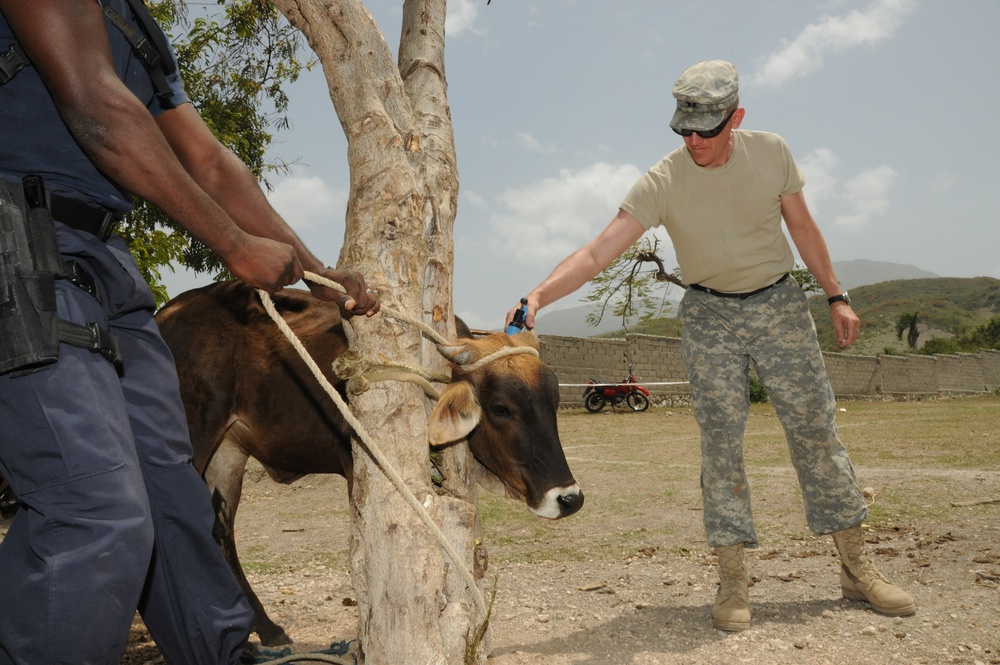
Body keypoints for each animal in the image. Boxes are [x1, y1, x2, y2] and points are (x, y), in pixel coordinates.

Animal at [152, 280, 584, 644]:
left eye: (553, 402)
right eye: (501, 408)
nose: (570, 498)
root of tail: (165, 312)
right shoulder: (354, 462)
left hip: (228, 452)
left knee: (220, 528)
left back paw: (267, 630)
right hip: (193, 437)